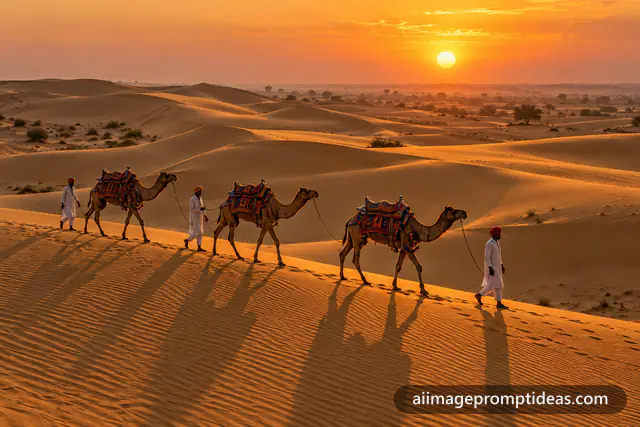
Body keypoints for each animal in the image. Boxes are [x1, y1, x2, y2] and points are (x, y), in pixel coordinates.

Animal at [339, 205, 467, 295]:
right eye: (452, 211)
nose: (464, 213)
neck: (418, 229)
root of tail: (351, 219)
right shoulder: (407, 245)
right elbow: (418, 266)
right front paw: (423, 291)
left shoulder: (404, 248)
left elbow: (398, 266)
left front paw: (395, 286)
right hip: (356, 236)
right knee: (356, 259)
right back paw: (365, 280)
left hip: (352, 237)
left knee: (342, 253)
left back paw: (342, 276)